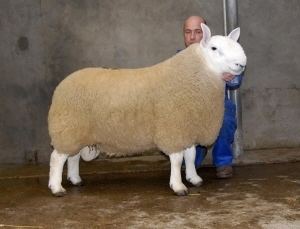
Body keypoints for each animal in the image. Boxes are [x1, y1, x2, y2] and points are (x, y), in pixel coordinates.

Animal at [48, 24, 247, 197]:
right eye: (214, 48)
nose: (241, 64)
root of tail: (63, 84)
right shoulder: (173, 128)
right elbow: (177, 160)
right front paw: (178, 186)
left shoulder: (187, 127)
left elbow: (190, 156)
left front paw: (194, 178)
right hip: (67, 128)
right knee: (57, 158)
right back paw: (57, 188)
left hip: (78, 132)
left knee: (73, 157)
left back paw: (75, 179)